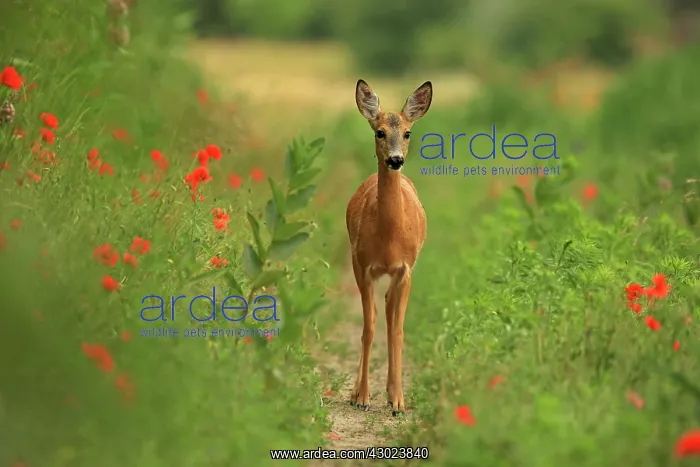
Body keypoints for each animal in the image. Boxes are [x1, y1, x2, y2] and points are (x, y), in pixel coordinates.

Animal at [346, 79, 431, 416]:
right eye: (379, 132)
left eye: (408, 133)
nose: (395, 160)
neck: (389, 239)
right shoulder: (361, 264)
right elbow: (368, 327)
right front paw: (362, 396)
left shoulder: (405, 269)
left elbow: (397, 330)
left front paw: (397, 401)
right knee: (375, 316)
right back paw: (358, 392)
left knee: (389, 313)